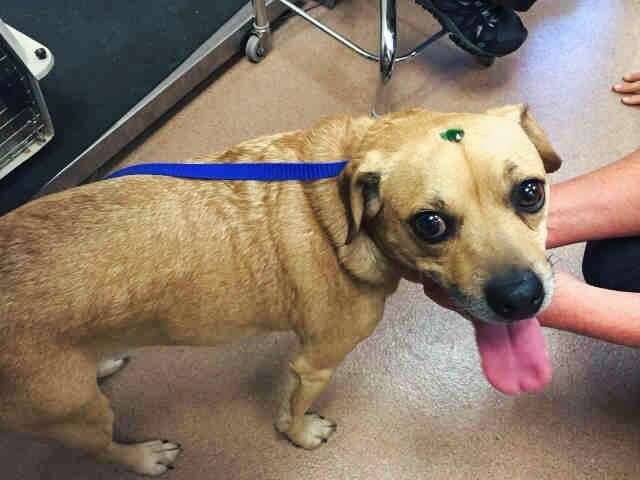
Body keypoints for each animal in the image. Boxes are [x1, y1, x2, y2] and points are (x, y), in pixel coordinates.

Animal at [0, 103, 560, 474]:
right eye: (430, 224)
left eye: (530, 192)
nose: (521, 298)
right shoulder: (314, 362)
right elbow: (291, 410)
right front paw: (301, 435)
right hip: (79, 415)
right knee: (103, 448)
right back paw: (143, 456)